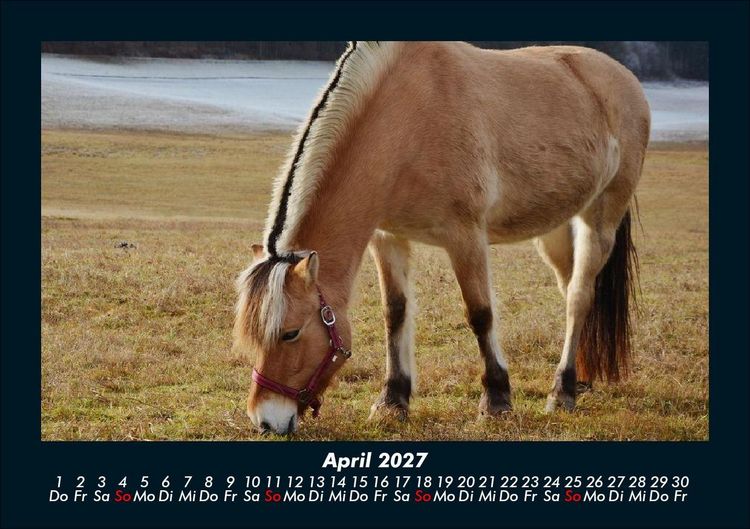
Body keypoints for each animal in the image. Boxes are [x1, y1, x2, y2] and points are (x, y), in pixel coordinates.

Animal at [234, 41, 649, 435]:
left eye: (290, 333)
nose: (266, 420)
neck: (408, 119)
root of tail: (624, 79)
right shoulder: (388, 237)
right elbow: (395, 313)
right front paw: (392, 401)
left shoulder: (465, 237)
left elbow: (480, 314)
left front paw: (496, 401)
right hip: (556, 229)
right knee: (572, 292)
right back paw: (581, 380)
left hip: (599, 218)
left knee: (579, 297)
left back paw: (562, 392)